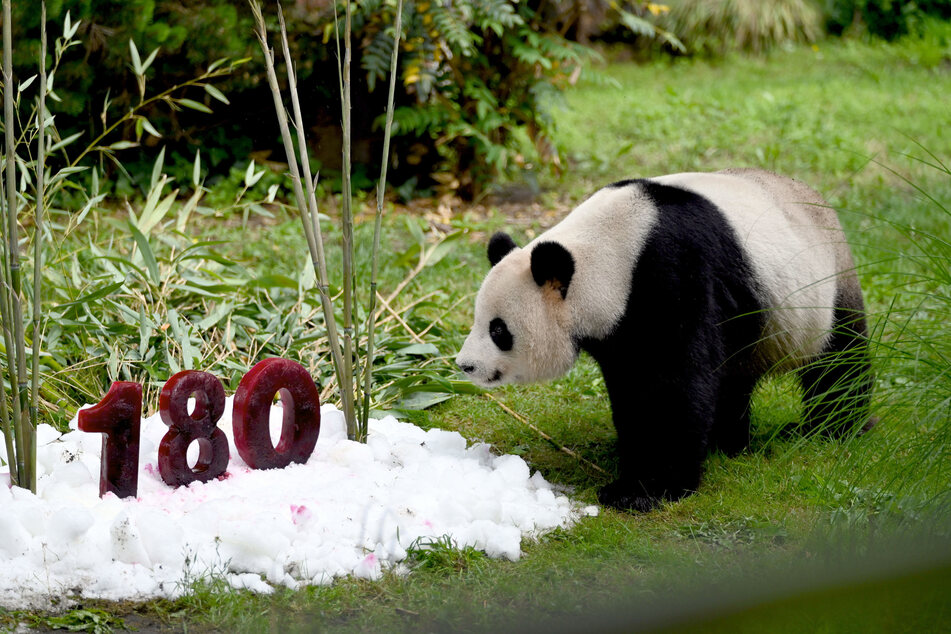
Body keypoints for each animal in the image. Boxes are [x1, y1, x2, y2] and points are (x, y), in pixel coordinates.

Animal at [458, 169, 872, 512]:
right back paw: (729, 443)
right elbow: (633, 392)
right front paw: (635, 469)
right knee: (733, 378)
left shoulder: (676, 275)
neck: (609, 253)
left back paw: (834, 428)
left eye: (499, 330)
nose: (466, 365)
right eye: (479, 320)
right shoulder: (619, 328)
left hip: (821, 288)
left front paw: (647, 491)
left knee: (838, 362)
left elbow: (676, 386)